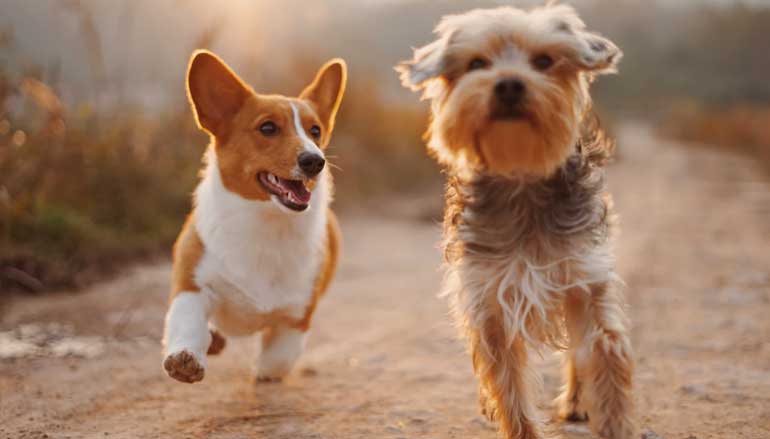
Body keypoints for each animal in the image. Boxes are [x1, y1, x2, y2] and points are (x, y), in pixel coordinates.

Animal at [164, 49, 346, 384]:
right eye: (268, 128)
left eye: (315, 131)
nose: (315, 161)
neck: (265, 223)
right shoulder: (192, 283)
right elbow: (188, 321)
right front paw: (185, 358)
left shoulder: (296, 317)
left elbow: (278, 359)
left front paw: (262, 371)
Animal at [396, 3, 632, 439]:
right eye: (476, 63)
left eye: (544, 61)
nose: (508, 84)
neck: (521, 174)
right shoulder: (488, 296)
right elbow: (507, 380)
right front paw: (518, 424)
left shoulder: (584, 276)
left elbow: (604, 346)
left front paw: (613, 419)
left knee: (577, 352)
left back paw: (576, 401)